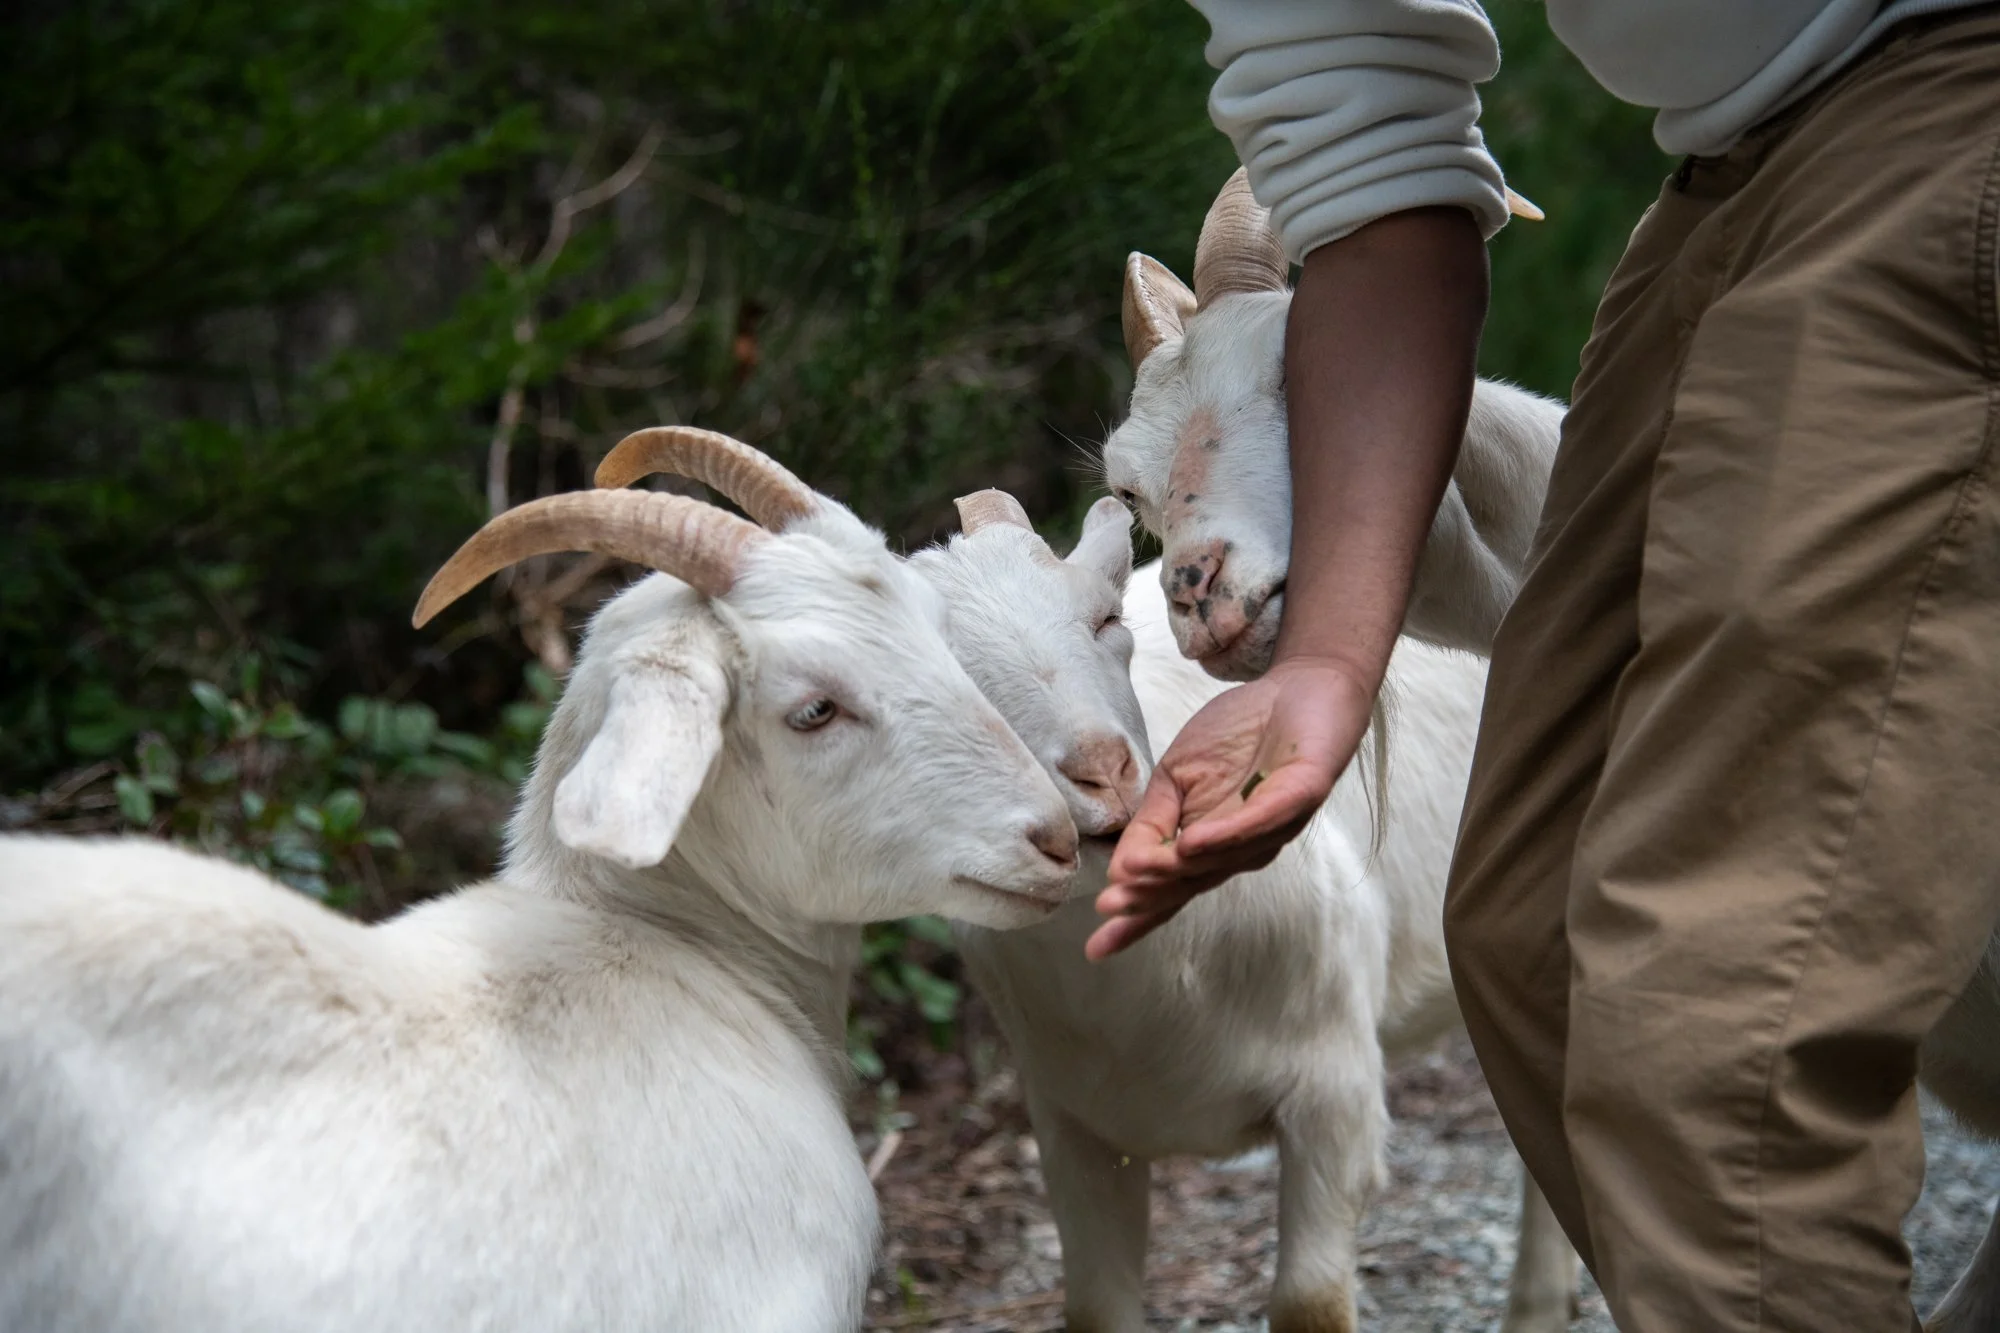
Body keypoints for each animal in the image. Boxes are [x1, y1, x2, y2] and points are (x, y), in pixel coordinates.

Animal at [909, 491, 1578, 1333]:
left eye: (1104, 618)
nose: (1103, 771)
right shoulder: (1072, 1126)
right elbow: (1095, 1308)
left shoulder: (1334, 1097)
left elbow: (1310, 1303)